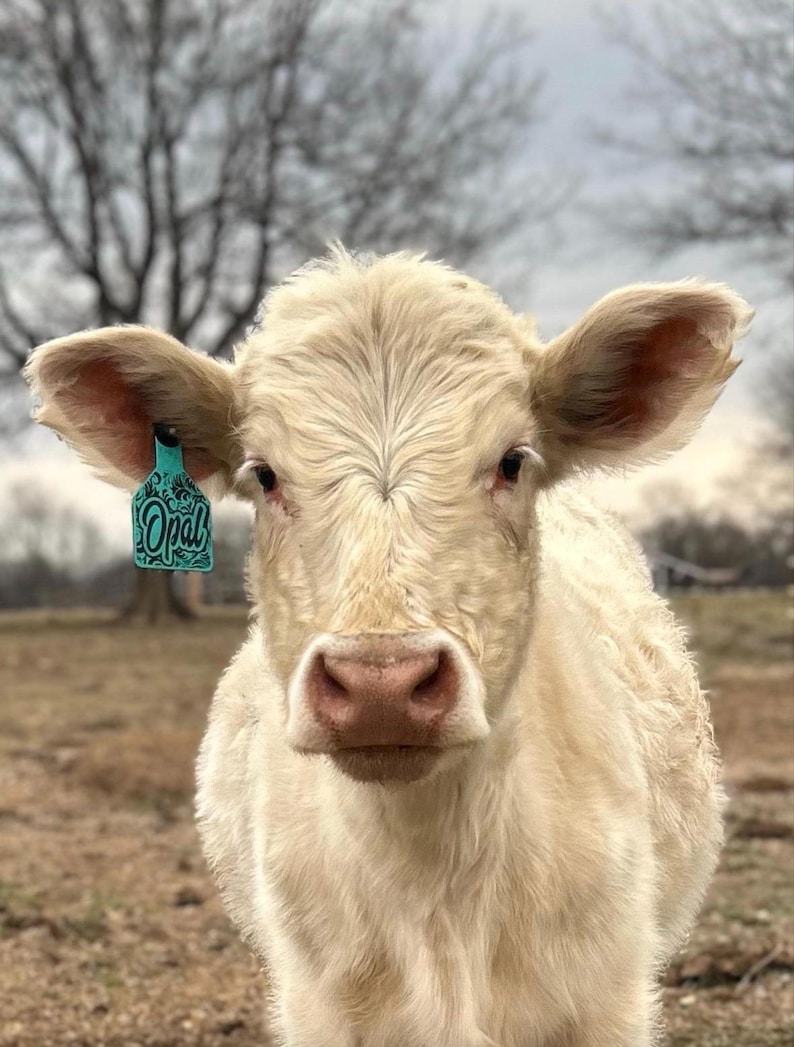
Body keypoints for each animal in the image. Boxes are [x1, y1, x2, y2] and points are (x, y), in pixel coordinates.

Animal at [26, 248, 751, 1046]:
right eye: (264, 474)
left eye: (511, 461)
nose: (381, 683)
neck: (434, 879)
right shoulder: (317, 1001)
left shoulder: (607, 995)